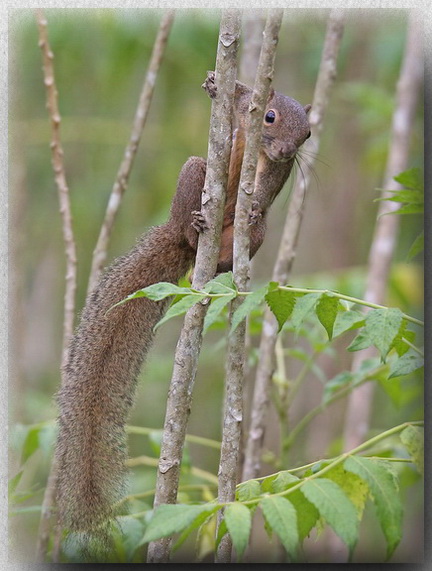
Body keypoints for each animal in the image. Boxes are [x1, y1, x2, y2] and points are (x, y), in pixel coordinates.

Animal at [54, 75, 310, 540]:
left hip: (255, 234)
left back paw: (226, 261)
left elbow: (264, 191)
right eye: (269, 116)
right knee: (191, 205)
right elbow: (236, 97)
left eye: (308, 135)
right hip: (194, 171)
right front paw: (217, 84)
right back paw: (194, 228)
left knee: (249, 234)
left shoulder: (275, 174)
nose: (286, 150)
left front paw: (254, 202)